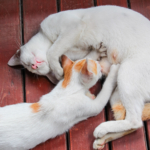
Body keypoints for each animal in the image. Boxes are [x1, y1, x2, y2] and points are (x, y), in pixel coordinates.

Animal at [7, 5, 150, 149]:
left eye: (26, 64)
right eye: (29, 67)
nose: (34, 66)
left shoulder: (73, 28)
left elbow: (52, 51)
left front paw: (58, 70)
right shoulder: (78, 51)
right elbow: (83, 57)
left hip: (126, 75)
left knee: (135, 120)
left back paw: (102, 129)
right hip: (117, 93)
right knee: (134, 123)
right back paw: (102, 138)